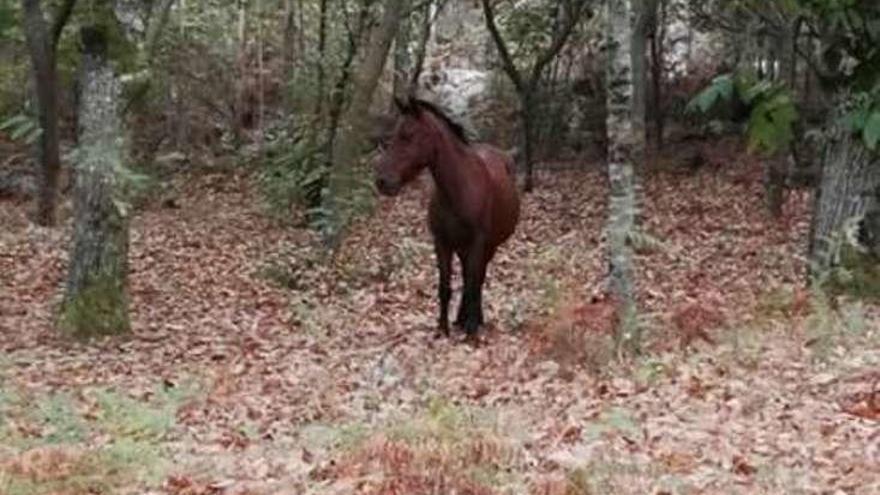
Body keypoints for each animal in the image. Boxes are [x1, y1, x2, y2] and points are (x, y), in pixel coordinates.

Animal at [372, 97, 524, 340]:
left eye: (408, 135)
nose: (383, 181)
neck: (458, 190)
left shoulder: (477, 244)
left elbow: (473, 284)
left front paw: (471, 332)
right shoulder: (442, 243)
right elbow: (445, 287)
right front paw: (442, 329)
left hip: (488, 247)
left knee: (477, 280)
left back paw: (473, 320)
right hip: (462, 249)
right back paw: (461, 319)